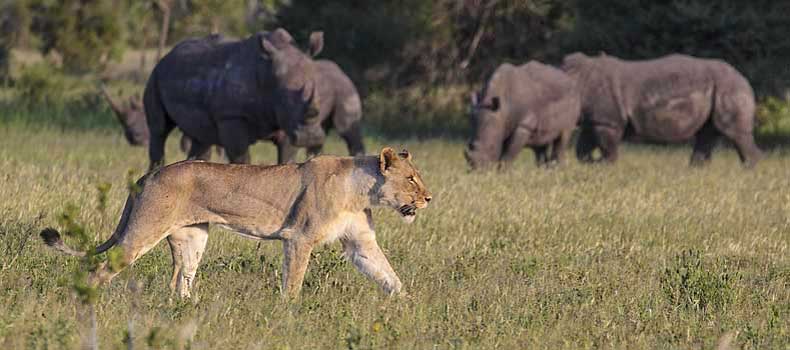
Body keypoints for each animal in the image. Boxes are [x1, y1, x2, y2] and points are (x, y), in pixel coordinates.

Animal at [144, 28, 358, 169]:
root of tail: (167, 55)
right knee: (159, 130)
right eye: (284, 101)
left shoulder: (286, 123)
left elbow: (287, 158)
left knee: (201, 137)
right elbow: (241, 158)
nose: (311, 137)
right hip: (155, 75)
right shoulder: (231, 116)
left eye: (321, 97)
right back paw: (156, 171)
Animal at [560, 52, 764, 167]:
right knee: (707, 133)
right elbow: (582, 149)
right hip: (720, 88)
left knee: (735, 132)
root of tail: (743, 77)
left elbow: (607, 147)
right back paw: (695, 171)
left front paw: (604, 166)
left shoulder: (608, 121)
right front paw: (592, 165)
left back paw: (748, 171)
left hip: (729, 88)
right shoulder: (595, 119)